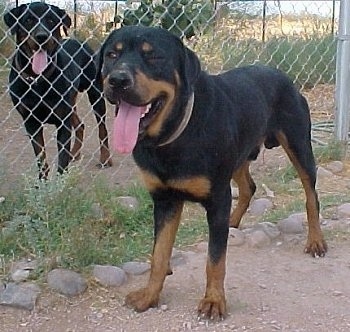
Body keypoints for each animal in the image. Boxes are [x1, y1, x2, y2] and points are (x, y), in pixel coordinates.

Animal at [4, 3, 113, 179]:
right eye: (28, 20)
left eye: (51, 20)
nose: (42, 36)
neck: (38, 79)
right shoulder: (31, 122)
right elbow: (41, 158)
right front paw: (42, 182)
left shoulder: (62, 122)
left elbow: (62, 162)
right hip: (71, 102)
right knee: (80, 125)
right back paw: (75, 153)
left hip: (95, 93)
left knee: (102, 128)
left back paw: (105, 158)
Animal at [97, 26, 326, 320]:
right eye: (112, 55)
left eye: (154, 56)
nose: (117, 80)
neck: (176, 135)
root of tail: (283, 76)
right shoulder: (165, 200)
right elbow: (158, 255)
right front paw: (149, 295)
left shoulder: (217, 197)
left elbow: (215, 259)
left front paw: (214, 300)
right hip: (240, 156)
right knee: (249, 187)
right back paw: (232, 222)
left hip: (299, 146)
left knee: (311, 195)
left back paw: (316, 240)